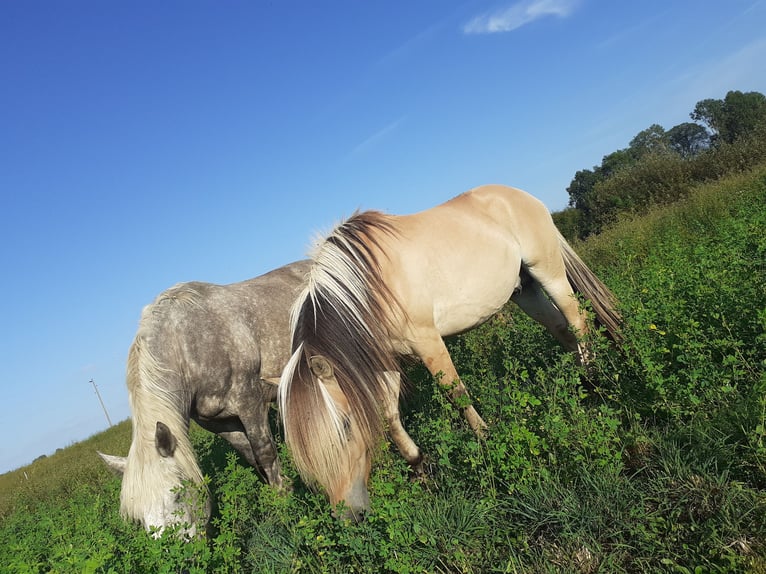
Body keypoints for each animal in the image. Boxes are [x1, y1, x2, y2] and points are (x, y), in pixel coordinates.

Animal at [97, 260, 314, 540]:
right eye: (139, 518)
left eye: (177, 494)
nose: (181, 551)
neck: (186, 347)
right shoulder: (218, 422)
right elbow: (250, 456)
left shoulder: (249, 400)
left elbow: (264, 452)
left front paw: (283, 496)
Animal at [280, 184, 620, 520]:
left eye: (346, 426)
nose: (347, 515)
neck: (368, 289)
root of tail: (521, 195)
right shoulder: (386, 362)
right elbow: (390, 414)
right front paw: (419, 465)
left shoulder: (428, 341)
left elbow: (455, 393)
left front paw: (485, 439)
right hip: (525, 291)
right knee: (562, 329)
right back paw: (577, 381)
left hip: (548, 273)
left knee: (578, 321)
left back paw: (592, 381)